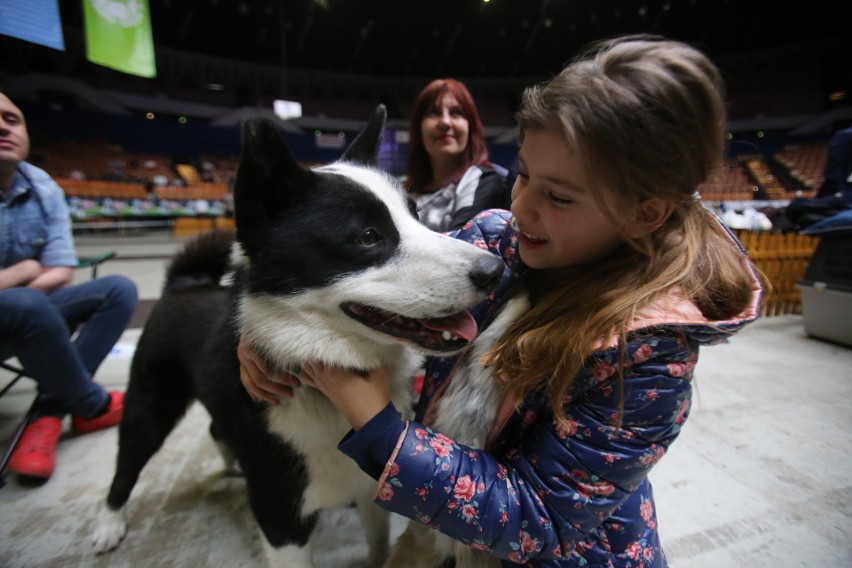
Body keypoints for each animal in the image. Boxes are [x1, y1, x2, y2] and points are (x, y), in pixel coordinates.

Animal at [91, 105, 506, 564]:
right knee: (128, 461)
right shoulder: (280, 517)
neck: (318, 384)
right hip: (151, 403)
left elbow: (379, 547)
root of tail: (183, 284)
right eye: (367, 237)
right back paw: (109, 522)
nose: (495, 271)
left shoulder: (370, 491)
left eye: (416, 216)